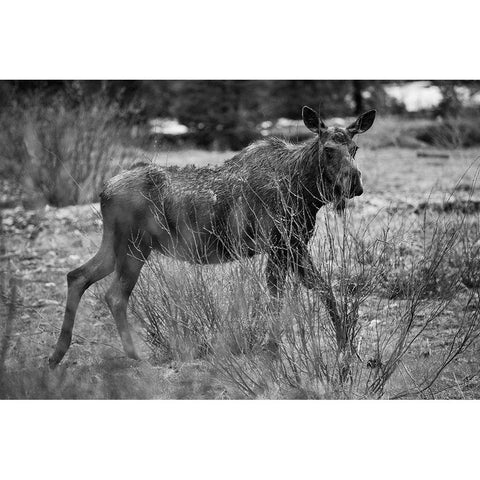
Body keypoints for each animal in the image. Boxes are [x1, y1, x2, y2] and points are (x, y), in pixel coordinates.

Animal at [50, 106, 376, 368]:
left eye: (355, 148)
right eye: (329, 149)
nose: (354, 184)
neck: (306, 190)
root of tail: (104, 191)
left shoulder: (294, 245)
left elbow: (324, 290)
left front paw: (346, 348)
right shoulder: (278, 244)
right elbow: (277, 298)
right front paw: (271, 350)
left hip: (115, 245)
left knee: (77, 276)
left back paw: (57, 354)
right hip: (135, 247)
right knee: (114, 294)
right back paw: (133, 356)